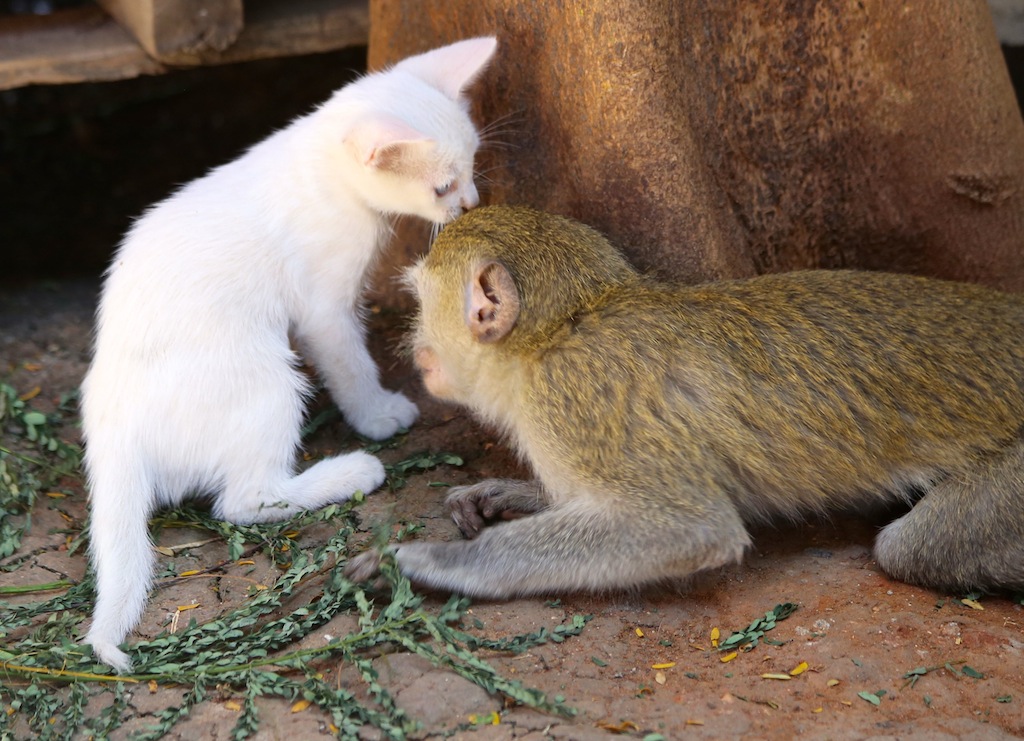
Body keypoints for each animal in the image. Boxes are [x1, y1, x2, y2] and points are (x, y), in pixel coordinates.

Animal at [78, 36, 495, 671]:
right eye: (442, 187)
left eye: (471, 167)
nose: (469, 204)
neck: (322, 173)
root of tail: (112, 431)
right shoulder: (324, 306)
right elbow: (349, 362)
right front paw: (377, 413)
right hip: (269, 379)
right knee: (242, 501)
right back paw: (351, 472)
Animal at [348, 205, 1024, 597]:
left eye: (420, 303)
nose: (416, 347)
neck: (561, 329)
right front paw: (508, 496)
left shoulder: (573, 395)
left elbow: (689, 528)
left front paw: (429, 562)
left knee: (909, 549)